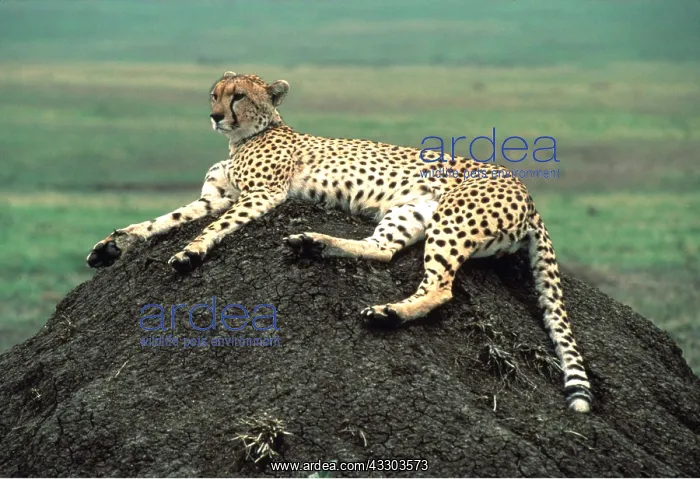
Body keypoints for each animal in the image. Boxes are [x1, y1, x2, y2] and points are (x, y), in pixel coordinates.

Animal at [87, 71, 593, 413]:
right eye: (215, 94)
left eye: (239, 97)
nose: (214, 115)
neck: (250, 135)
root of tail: (526, 190)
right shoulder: (214, 197)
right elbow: (164, 219)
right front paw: (114, 244)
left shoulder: (260, 195)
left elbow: (211, 228)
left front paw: (190, 252)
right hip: (411, 212)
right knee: (384, 250)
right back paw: (315, 245)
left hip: (453, 219)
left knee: (441, 288)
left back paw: (388, 313)